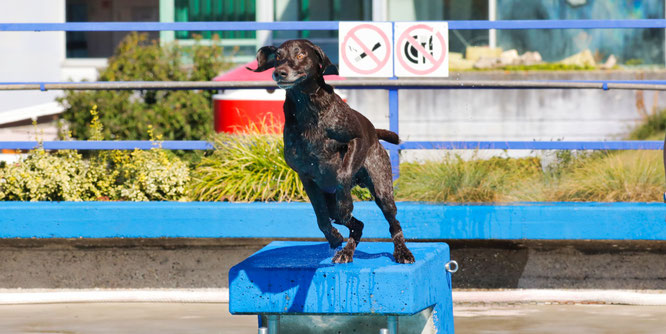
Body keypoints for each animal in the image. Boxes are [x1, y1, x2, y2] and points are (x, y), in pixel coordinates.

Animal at [249, 39, 412, 264]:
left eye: (300, 55)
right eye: (279, 56)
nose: (279, 72)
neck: (307, 108)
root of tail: (376, 133)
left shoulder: (358, 139)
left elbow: (343, 175)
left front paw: (346, 206)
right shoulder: (306, 178)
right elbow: (321, 216)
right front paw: (334, 237)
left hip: (382, 190)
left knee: (393, 223)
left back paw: (402, 251)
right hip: (331, 200)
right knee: (357, 226)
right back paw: (346, 251)